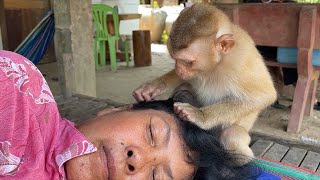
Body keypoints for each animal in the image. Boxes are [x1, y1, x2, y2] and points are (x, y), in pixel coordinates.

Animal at [131, 2, 276, 161]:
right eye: (175, 59)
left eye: (188, 62)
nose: (179, 69)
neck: (217, 64)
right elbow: (181, 80)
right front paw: (153, 87)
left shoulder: (242, 60)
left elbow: (266, 95)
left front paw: (201, 116)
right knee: (184, 88)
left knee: (231, 135)